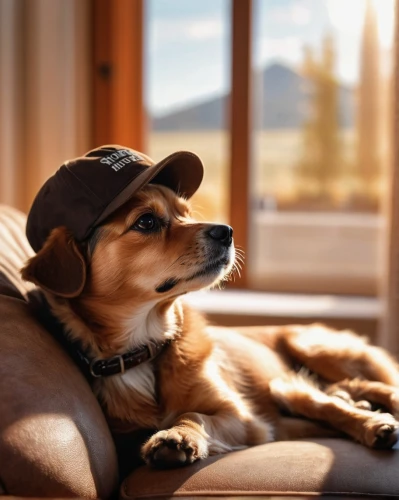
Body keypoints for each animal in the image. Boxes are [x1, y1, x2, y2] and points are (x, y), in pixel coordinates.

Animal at [21, 153, 399, 468]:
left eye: (186, 214)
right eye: (146, 222)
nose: (226, 231)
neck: (144, 342)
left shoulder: (244, 418)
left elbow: (194, 414)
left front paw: (177, 435)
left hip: (312, 347)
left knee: (355, 387)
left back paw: (373, 418)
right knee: (332, 396)